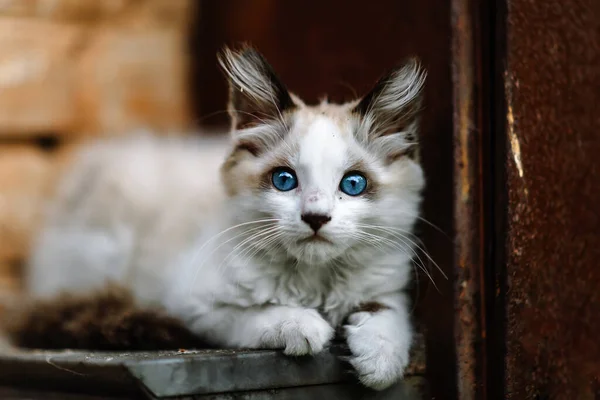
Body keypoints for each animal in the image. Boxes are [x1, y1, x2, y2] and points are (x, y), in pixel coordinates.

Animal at [24, 47, 426, 390]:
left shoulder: (389, 288)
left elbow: (392, 318)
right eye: (284, 180)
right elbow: (258, 314)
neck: (315, 282)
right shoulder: (193, 303)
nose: (315, 217)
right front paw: (303, 325)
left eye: (353, 184)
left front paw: (379, 361)